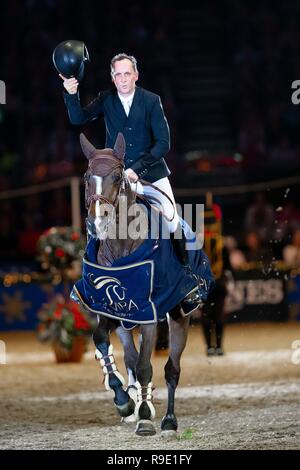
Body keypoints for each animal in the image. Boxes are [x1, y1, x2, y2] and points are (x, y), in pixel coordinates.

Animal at [72, 132, 213, 436]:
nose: (98, 222)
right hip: (126, 323)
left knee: (172, 368)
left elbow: (147, 365)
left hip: (180, 316)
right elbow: (104, 344)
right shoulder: (110, 309)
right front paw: (124, 402)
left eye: (117, 176)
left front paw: (146, 417)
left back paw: (169, 421)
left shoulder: (150, 314)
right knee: (131, 360)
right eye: (87, 176)